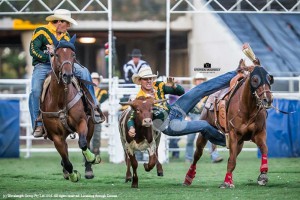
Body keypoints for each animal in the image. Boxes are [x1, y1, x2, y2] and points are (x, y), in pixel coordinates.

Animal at [39, 35, 101, 182]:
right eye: (56, 54)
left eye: (73, 55)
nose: (67, 75)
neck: (61, 100)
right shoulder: (56, 136)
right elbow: (66, 159)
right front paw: (73, 174)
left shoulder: (82, 122)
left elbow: (83, 143)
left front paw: (92, 158)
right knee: (65, 152)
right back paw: (66, 172)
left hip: (91, 124)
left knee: (87, 142)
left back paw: (89, 169)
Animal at [183, 59, 274, 188]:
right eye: (255, 79)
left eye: (269, 79)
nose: (268, 99)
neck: (247, 108)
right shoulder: (233, 134)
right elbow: (231, 160)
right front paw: (226, 182)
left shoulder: (259, 133)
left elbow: (264, 149)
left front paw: (263, 175)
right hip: (203, 132)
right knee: (197, 154)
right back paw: (188, 177)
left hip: (240, 142)